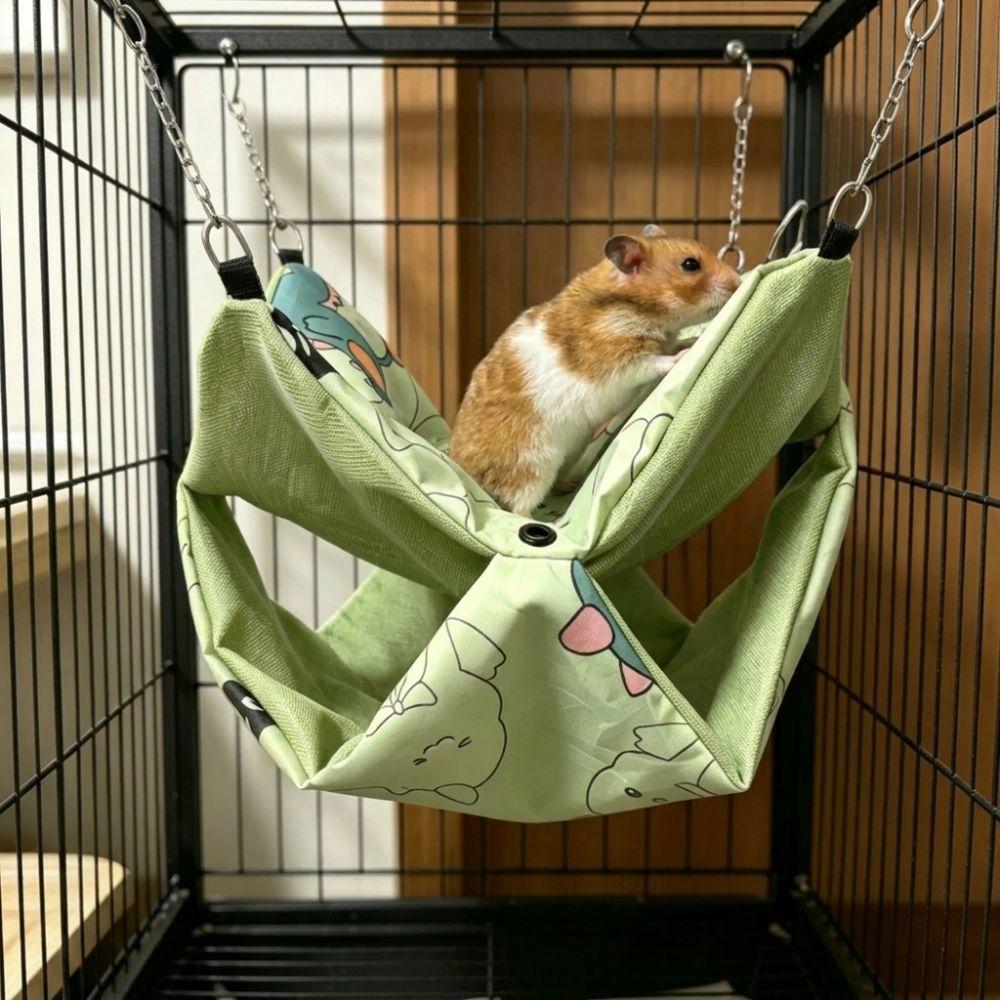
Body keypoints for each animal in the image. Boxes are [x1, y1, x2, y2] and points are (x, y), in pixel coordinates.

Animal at [448, 226, 741, 517]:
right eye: (690, 265)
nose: (738, 281)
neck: (634, 307)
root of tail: (465, 473)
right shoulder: (620, 361)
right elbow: (654, 362)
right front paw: (683, 355)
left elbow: (672, 345)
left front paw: (692, 340)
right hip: (531, 468)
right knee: (518, 509)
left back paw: (570, 485)